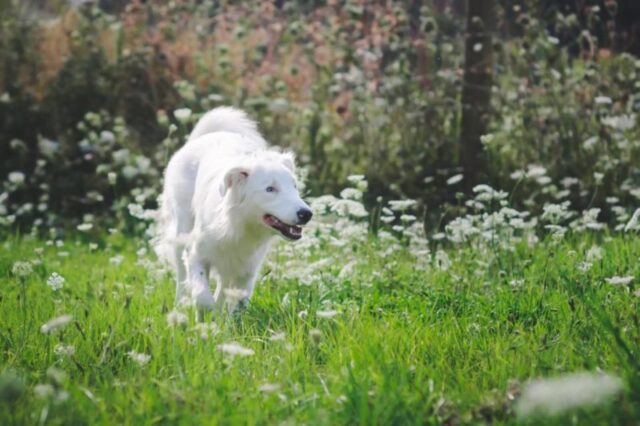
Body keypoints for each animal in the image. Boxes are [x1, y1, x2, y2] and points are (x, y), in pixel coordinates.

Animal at [158, 106, 312, 320]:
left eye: (294, 186)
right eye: (270, 189)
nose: (306, 213)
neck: (241, 224)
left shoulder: (247, 270)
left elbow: (237, 303)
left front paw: (226, 322)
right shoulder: (197, 255)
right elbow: (202, 296)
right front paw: (205, 322)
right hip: (181, 231)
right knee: (182, 276)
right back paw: (180, 307)